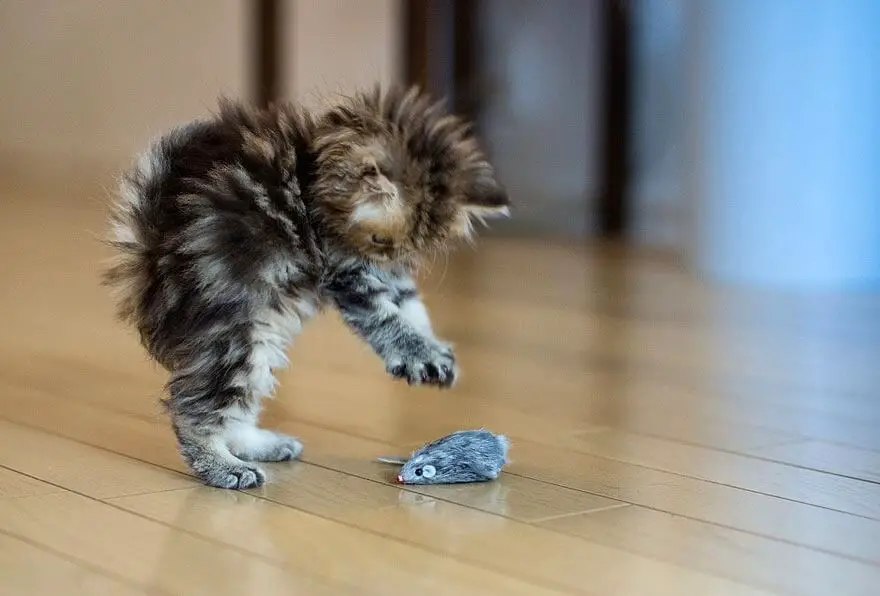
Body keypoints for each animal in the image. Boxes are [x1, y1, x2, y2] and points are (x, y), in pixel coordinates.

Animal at [102, 87, 508, 488]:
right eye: (379, 239)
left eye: (412, 247)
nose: (388, 258)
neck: (314, 175)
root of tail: (151, 254)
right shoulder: (347, 271)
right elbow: (388, 320)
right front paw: (419, 352)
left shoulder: (388, 276)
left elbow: (411, 308)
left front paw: (434, 351)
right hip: (234, 334)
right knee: (194, 409)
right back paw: (225, 466)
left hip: (260, 336)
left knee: (236, 406)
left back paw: (260, 445)